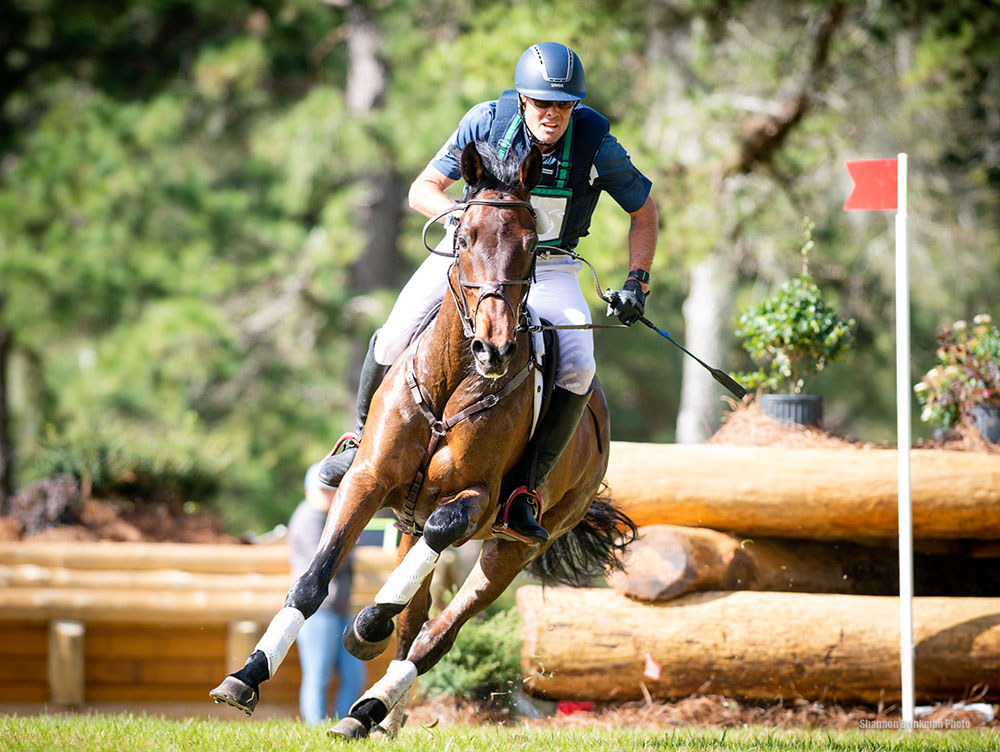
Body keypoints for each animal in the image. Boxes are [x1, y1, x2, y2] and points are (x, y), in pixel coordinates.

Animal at [210, 141, 636, 740]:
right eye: (464, 237)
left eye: (533, 246)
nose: (494, 348)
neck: (454, 376)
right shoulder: (368, 480)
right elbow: (314, 580)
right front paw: (247, 676)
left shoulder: (477, 501)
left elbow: (439, 538)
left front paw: (365, 626)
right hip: (408, 524)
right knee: (415, 613)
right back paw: (375, 716)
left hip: (515, 546)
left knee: (438, 632)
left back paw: (371, 702)